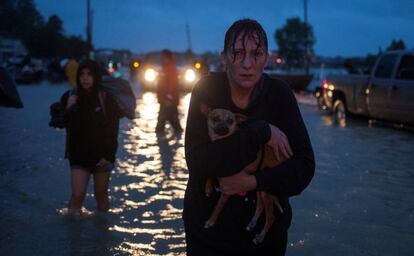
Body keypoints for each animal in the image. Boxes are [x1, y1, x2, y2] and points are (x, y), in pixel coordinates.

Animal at [200, 103, 284, 245]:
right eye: (215, 118)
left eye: (230, 121)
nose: (223, 127)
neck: (222, 143)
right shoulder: (215, 160)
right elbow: (210, 171)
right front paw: (208, 188)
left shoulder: (228, 188)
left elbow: (218, 206)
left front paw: (211, 221)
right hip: (258, 186)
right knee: (260, 205)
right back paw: (252, 224)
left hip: (266, 192)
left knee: (271, 217)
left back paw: (260, 237)